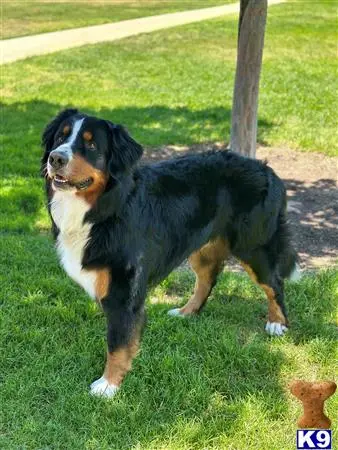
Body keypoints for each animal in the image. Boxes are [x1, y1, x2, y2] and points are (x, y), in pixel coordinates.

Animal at [41, 108, 298, 398]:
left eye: (92, 144)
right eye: (60, 137)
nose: (56, 158)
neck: (106, 209)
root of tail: (267, 169)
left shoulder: (124, 291)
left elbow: (118, 342)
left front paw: (108, 385)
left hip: (253, 246)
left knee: (274, 284)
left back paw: (277, 323)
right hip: (201, 245)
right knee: (207, 280)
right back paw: (187, 312)